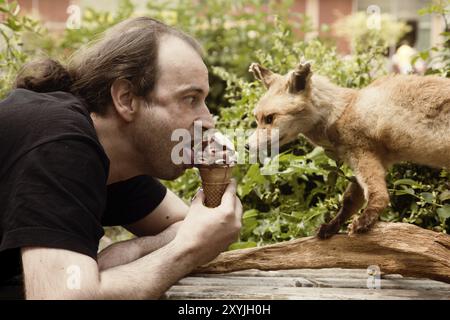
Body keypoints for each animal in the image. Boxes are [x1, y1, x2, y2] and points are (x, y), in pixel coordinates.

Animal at [248, 61, 448, 239]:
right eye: (256, 119)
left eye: (270, 118)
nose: (246, 146)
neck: (341, 112)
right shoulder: (374, 159)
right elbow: (349, 200)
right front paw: (332, 226)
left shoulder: (361, 152)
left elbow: (379, 195)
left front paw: (365, 221)